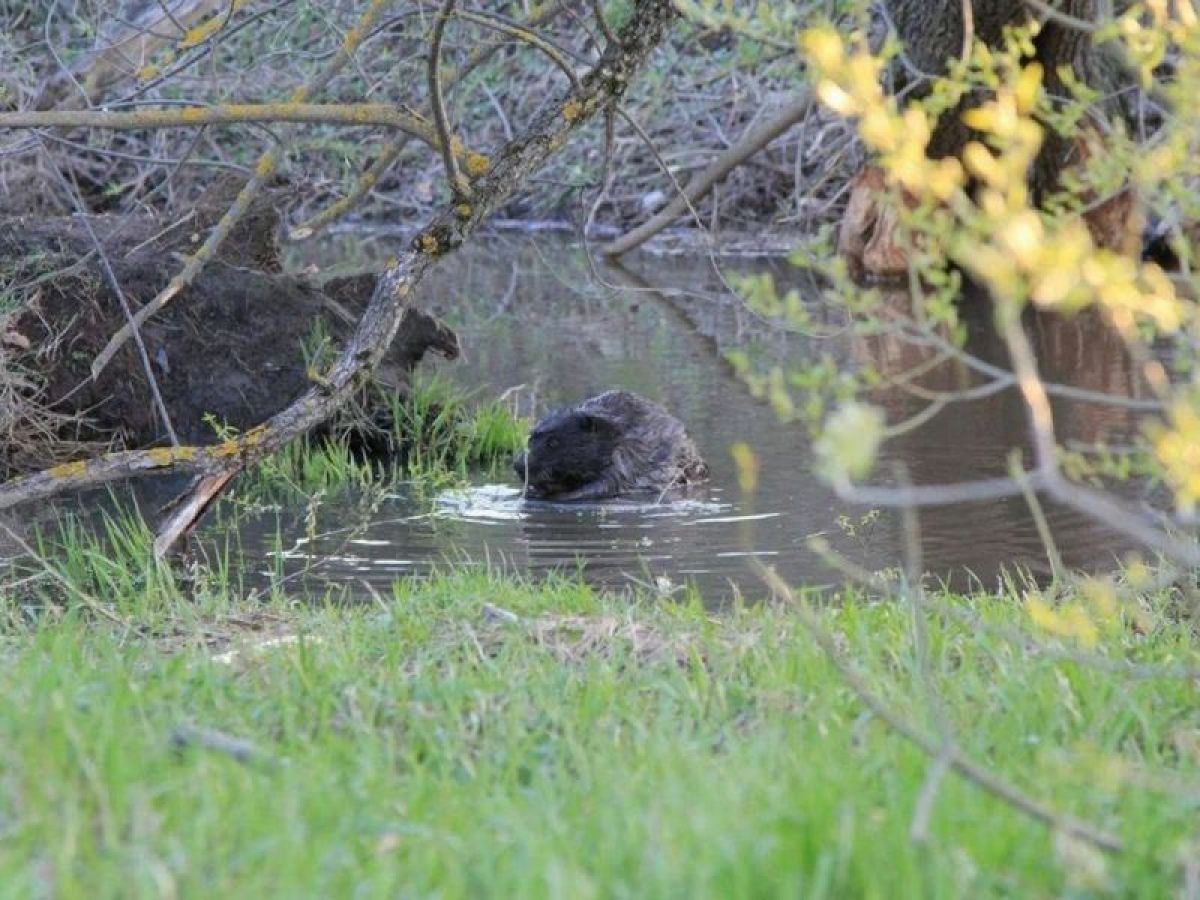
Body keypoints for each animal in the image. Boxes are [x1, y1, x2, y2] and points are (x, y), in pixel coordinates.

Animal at [511, 388, 705, 501]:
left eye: (553, 442)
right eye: (530, 437)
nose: (519, 465)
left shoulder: (629, 458)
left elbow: (605, 485)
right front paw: (529, 490)